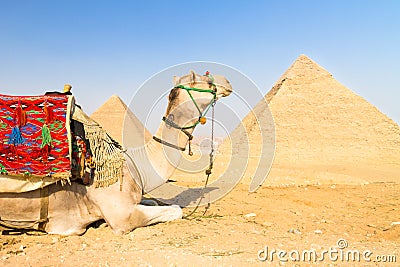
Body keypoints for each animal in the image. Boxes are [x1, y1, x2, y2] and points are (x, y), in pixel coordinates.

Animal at [0, 71, 233, 237]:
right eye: (205, 79)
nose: (228, 82)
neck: (135, 165)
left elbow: (156, 203)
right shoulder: (122, 216)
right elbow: (176, 209)